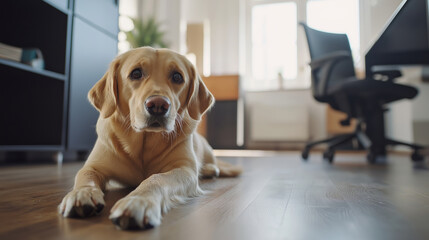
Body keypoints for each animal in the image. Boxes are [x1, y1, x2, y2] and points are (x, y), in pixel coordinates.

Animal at [58, 46, 242, 229]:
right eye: (136, 73)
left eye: (177, 77)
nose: (158, 105)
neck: (143, 142)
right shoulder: (94, 166)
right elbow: (84, 175)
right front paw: (81, 193)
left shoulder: (185, 170)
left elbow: (156, 178)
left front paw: (137, 201)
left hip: (206, 150)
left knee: (211, 163)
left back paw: (210, 169)